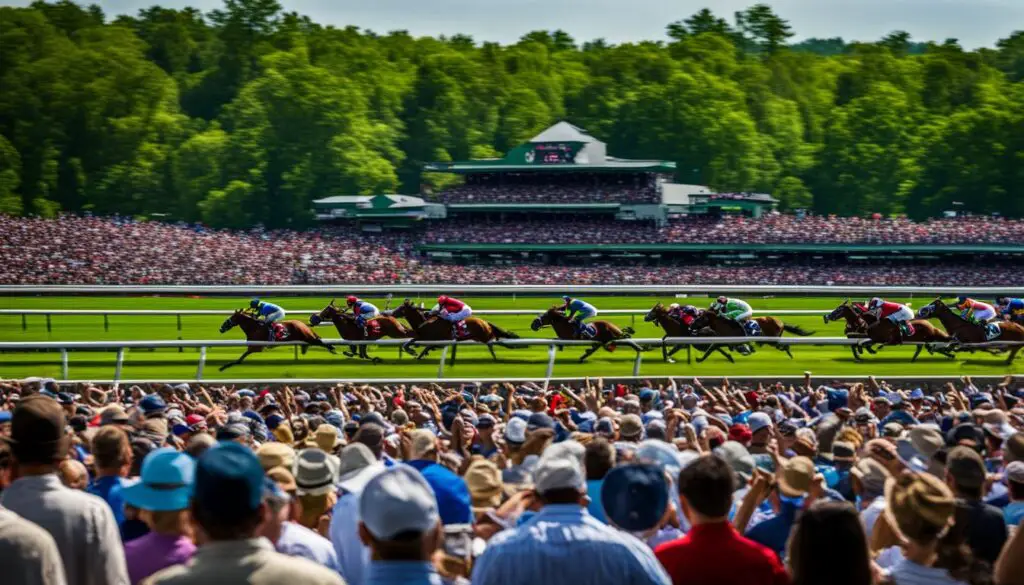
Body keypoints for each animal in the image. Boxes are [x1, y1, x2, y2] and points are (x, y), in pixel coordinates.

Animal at [389, 301, 524, 362]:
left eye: (401, 308)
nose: (391, 313)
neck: (425, 322)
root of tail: (485, 322)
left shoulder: (438, 339)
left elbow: (421, 344)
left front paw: (415, 352)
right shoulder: (426, 338)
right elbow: (412, 342)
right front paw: (416, 353)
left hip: (485, 336)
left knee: (496, 342)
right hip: (482, 337)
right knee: (495, 342)